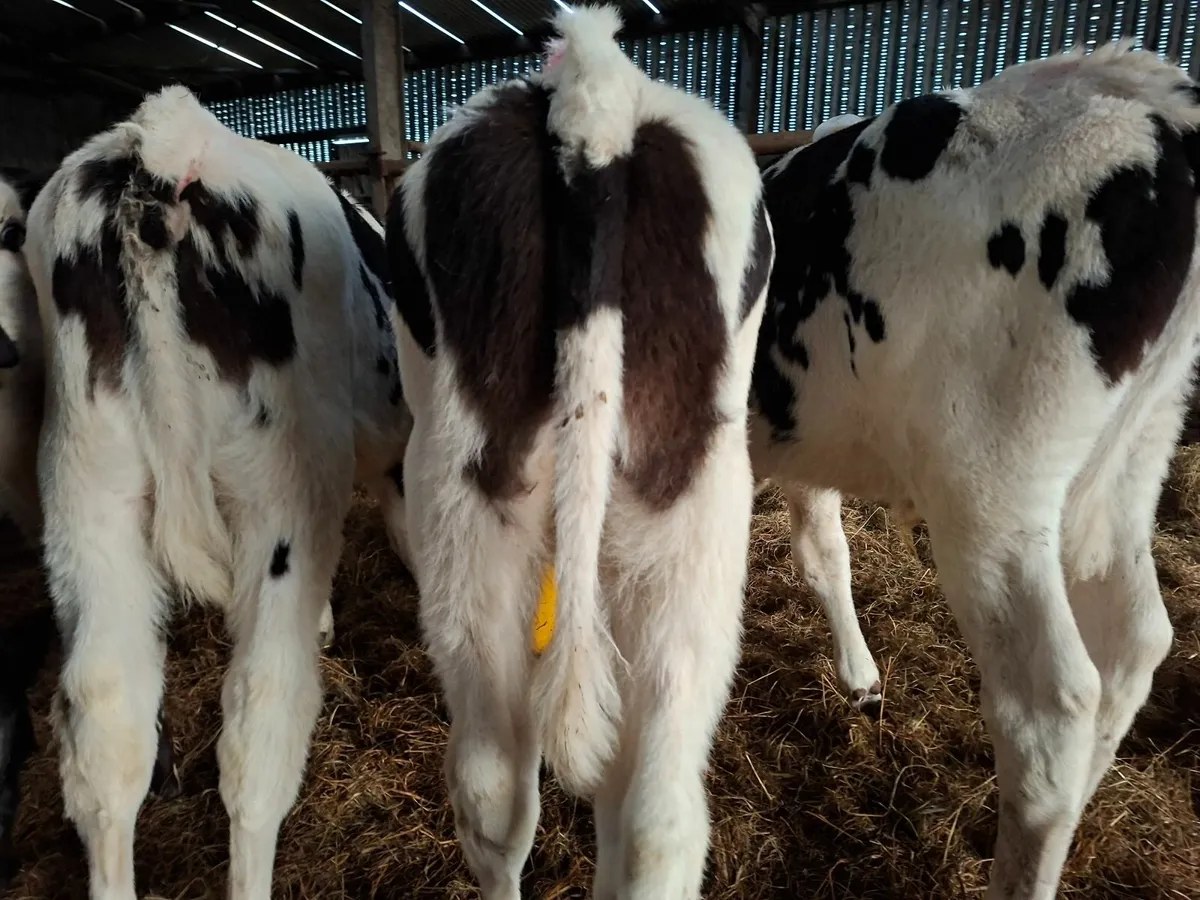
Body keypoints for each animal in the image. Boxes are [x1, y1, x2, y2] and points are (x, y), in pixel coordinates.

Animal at [750, 40, 1200, 900]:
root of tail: (1137, 92)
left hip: (989, 483)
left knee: (1050, 706)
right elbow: (824, 550)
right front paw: (860, 676)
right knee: (1135, 643)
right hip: (1127, 459)